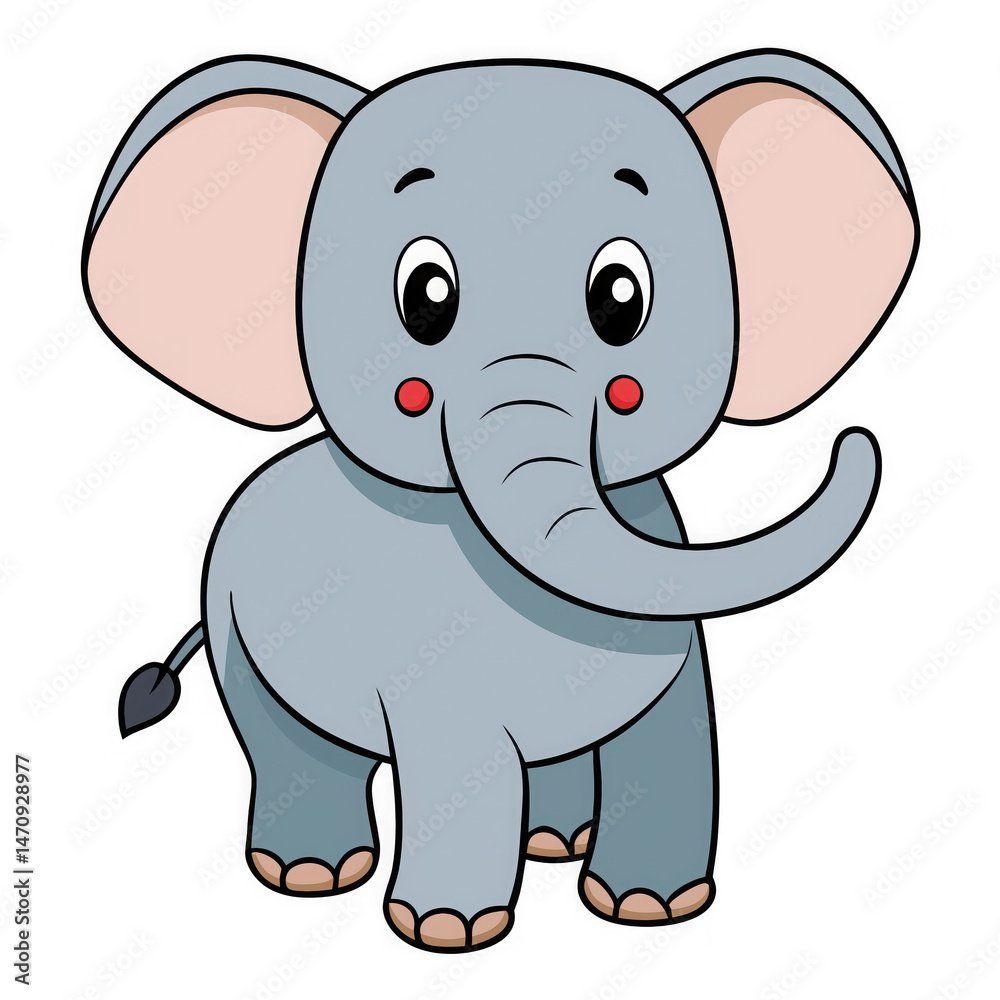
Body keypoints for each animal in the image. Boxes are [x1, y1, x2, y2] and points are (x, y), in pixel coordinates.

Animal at [84, 49, 918, 952]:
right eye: (425, 297)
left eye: (621, 298)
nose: (857, 440)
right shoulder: (429, 662)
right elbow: (459, 763)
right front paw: (447, 931)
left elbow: (676, 740)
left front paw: (649, 908)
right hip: (233, 619)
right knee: (292, 746)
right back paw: (311, 872)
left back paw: (553, 842)